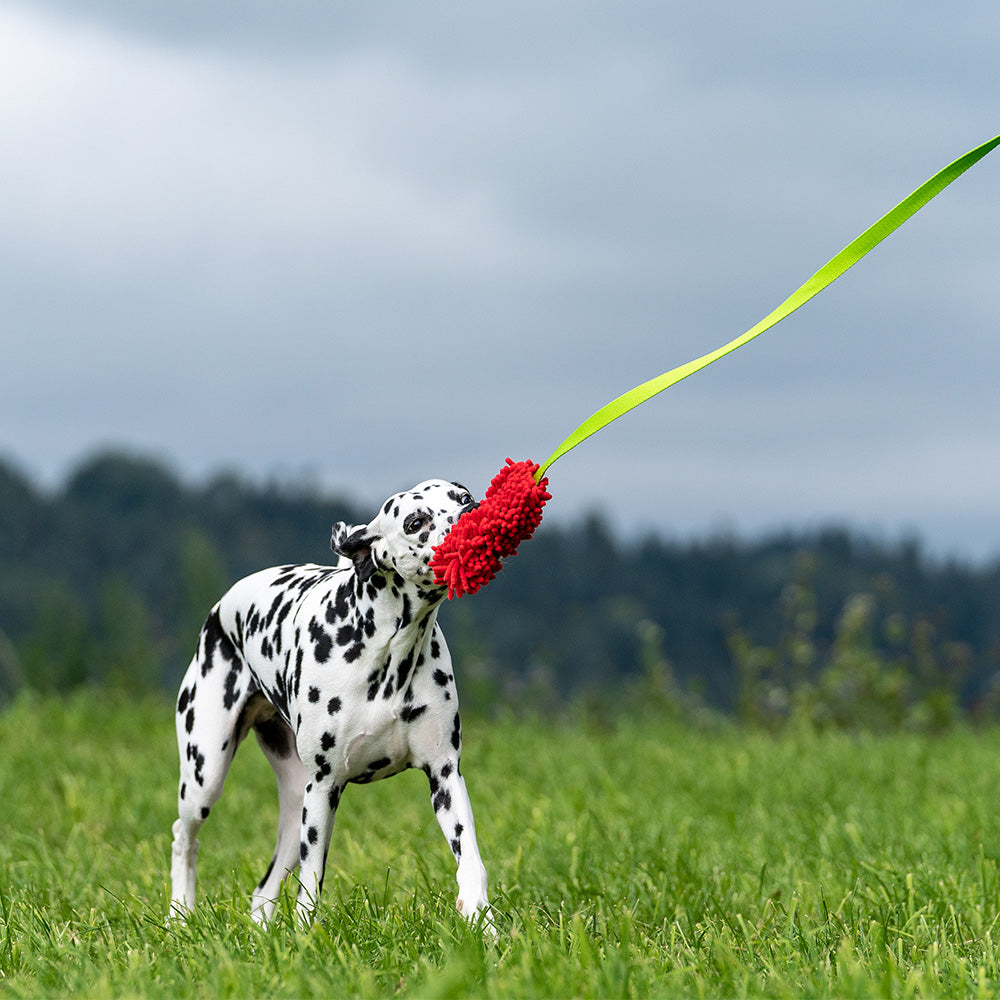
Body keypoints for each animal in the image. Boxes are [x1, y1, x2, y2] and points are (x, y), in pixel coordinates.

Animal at [170, 478, 494, 928]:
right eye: (416, 522)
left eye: (462, 497)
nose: (473, 515)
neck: (388, 650)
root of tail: (223, 605)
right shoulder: (325, 788)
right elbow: (311, 886)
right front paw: (307, 935)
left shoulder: (444, 775)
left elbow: (470, 862)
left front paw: (483, 923)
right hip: (207, 777)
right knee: (183, 838)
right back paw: (179, 913)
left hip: (295, 813)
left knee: (262, 891)